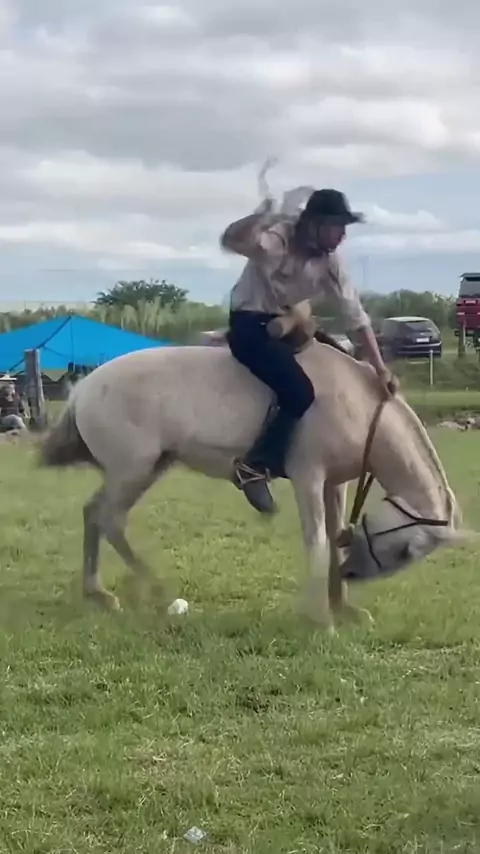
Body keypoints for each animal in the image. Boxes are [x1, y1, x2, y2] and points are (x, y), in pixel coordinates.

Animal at [38, 334, 460, 632]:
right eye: (404, 551)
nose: (354, 575)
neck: (355, 400)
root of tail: (83, 388)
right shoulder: (308, 476)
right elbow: (318, 540)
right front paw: (322, 621)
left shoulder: (334, 483)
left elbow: (335, 532)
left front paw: (344, 609)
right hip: (133, 470)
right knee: (109, 519)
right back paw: (160, 593)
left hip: (146, 469)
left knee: (94, 513)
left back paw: (100, 595)